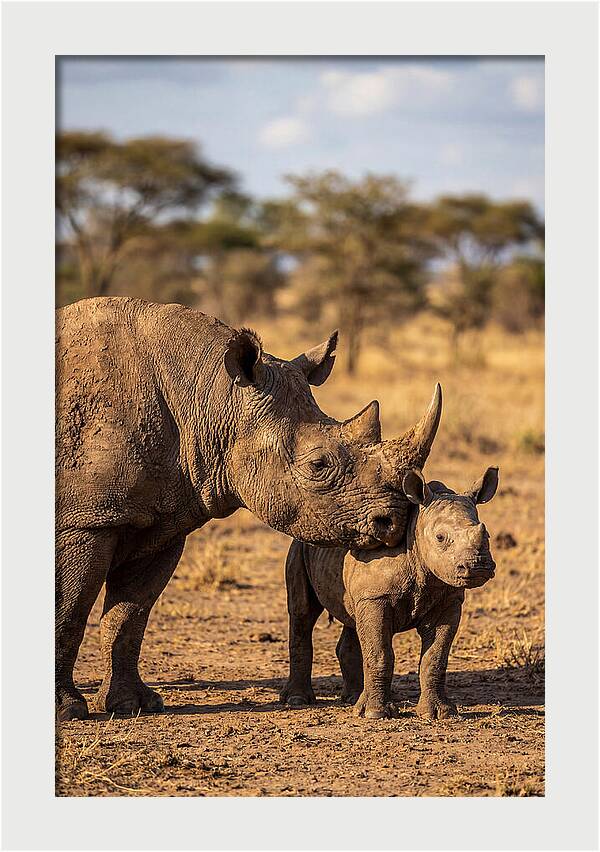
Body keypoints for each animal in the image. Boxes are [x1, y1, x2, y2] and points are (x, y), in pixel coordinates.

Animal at [55, 297, 440, 721]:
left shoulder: (163, 521)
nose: (394, 521)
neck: (210, 396)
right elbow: (68, 608)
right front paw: (67, 710)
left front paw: (132, 706)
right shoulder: (85, 520)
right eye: (317, 465)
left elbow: (129, 615)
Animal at [280, 465, 499, 720]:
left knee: (352, 618)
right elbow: (380, 653)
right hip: (299, 546)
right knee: (303, 613)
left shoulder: (448, 601)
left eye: (487, 535)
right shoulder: (376, 597)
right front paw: (376, 714)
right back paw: (298, 700)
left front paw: (439, 713)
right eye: (440, 538)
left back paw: (353, 698)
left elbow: (435, 657)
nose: (478, 566)